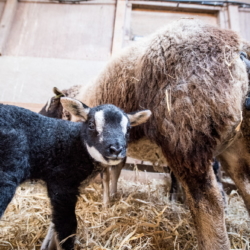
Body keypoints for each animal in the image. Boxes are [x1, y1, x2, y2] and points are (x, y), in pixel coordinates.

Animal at [42, 18, 249, 249]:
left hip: (187, 136)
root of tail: (238, 50)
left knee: (208, 202)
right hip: (236, 145)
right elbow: (114, 172)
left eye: (50, 103)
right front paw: (111, 200)